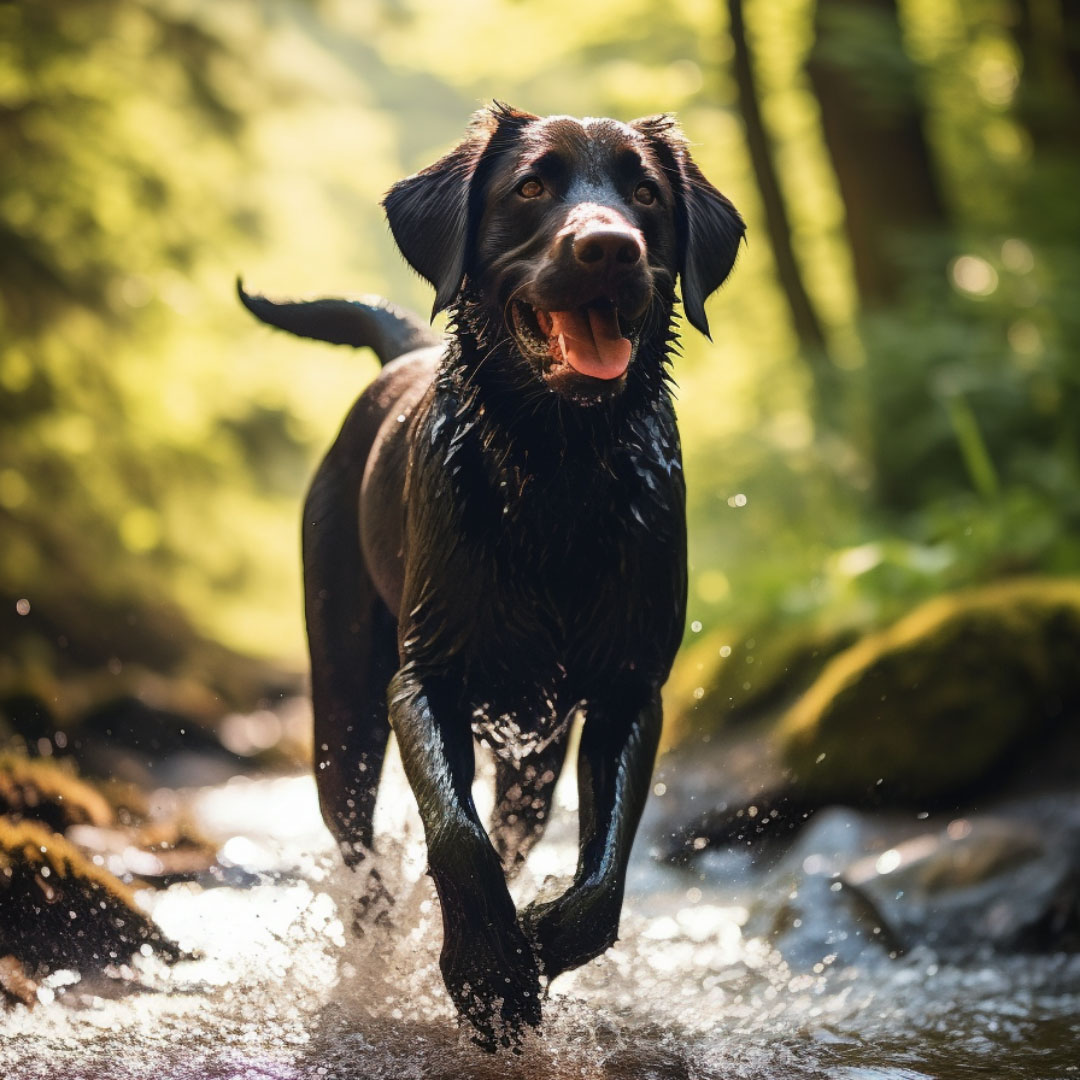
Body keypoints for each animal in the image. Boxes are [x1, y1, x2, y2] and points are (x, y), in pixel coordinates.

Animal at [238, 105, 743, 1049]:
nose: (609, 247)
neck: (558, 472)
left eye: (647, 194)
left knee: (511, 828)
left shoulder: (627, 694)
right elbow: (456, 840)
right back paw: (380, 948)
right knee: (360, 848)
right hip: (344, 699)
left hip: (534, 758)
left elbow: (602, 878)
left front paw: (534, 944)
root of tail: (399, 355)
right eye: (532, 185)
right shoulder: (423, 679)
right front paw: (488, 974)